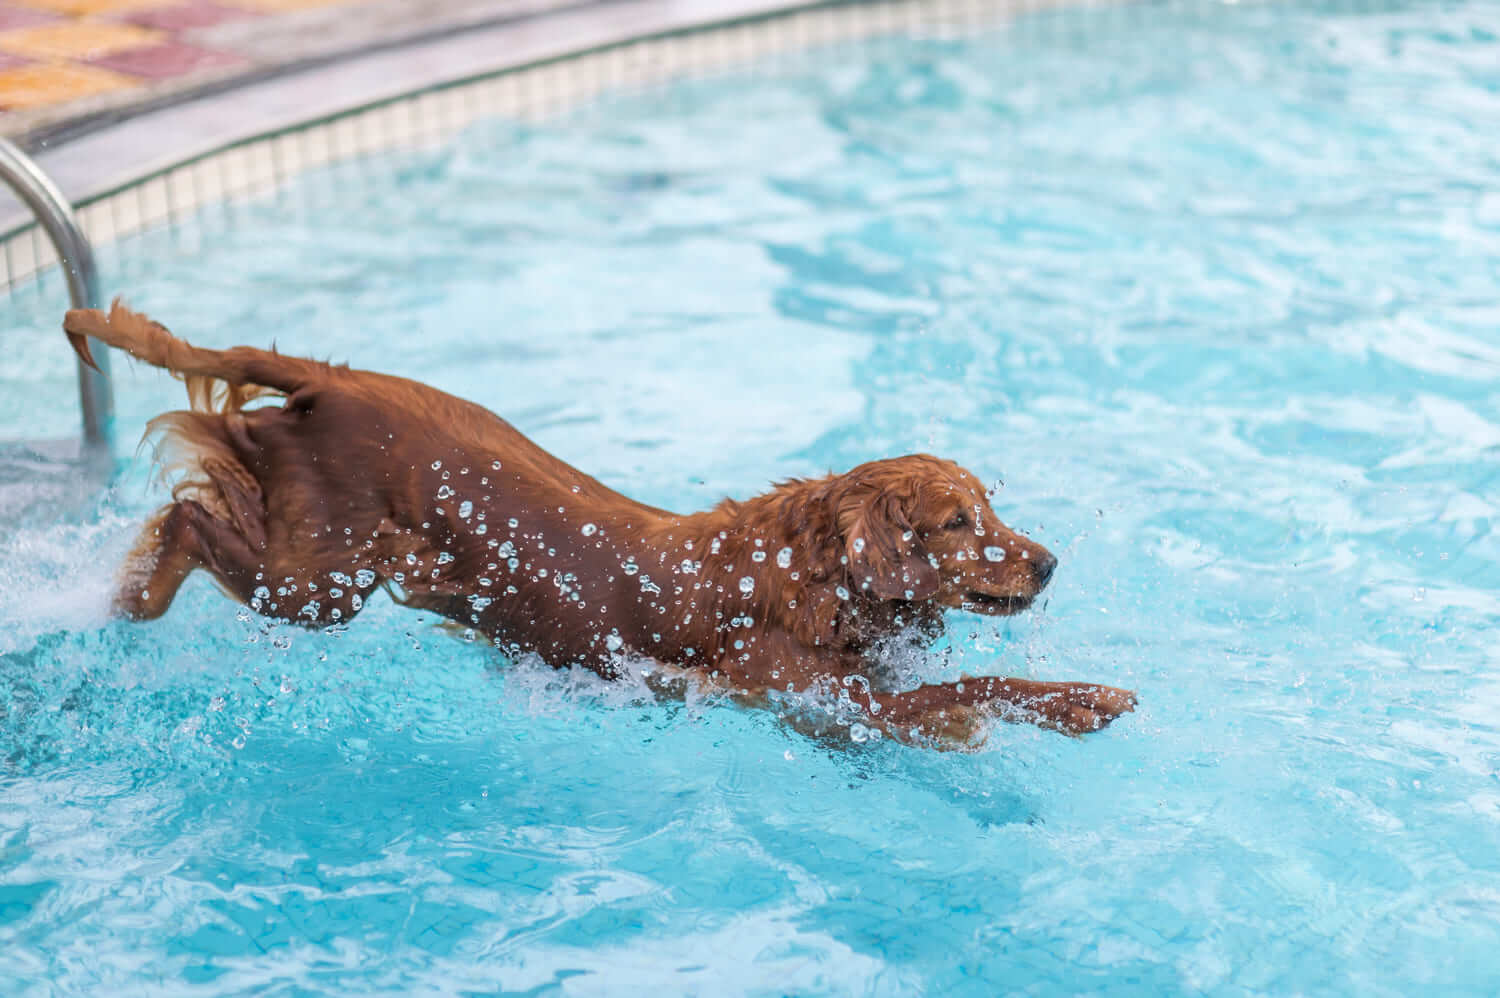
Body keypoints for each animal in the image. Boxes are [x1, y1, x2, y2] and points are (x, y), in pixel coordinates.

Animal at [64, 303, 1128, 747]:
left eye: (992, 505)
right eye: (958, 521)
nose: (1048, 564)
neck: (807, 574)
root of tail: (333, 379)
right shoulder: (813, 696)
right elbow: (971, 686)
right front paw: (1082, 701)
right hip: (317, 586)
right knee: (183, 519)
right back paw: (122, 601)